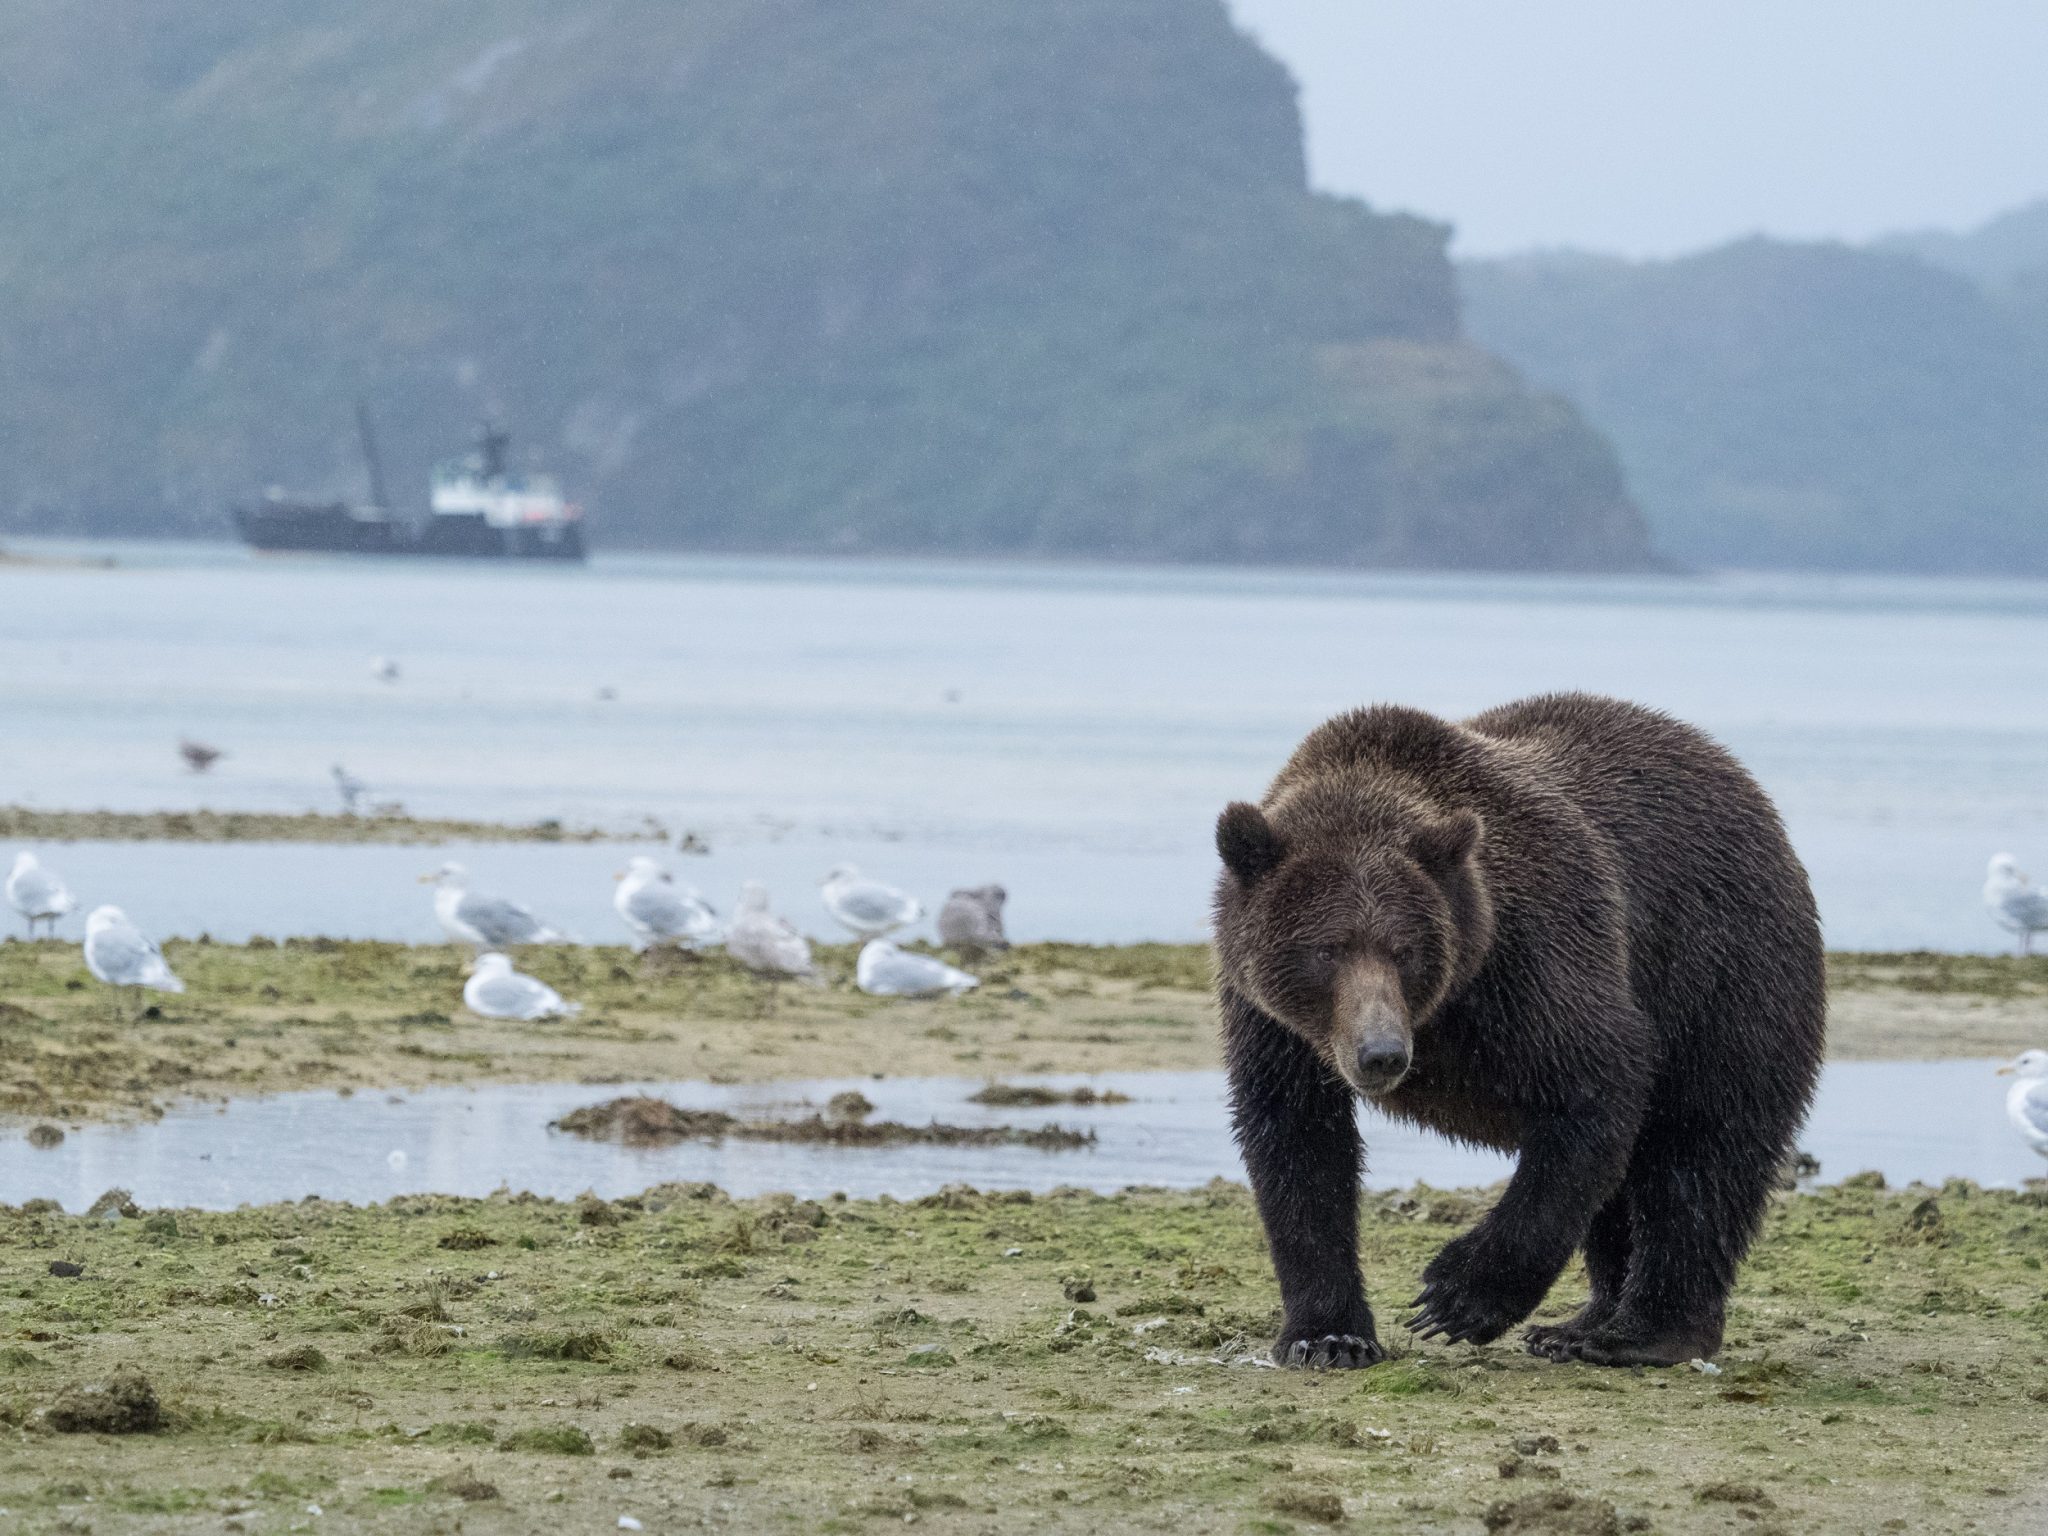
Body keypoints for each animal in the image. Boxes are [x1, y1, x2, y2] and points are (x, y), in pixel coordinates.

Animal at [1204, 696, 1818, 1368]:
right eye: (1325, 950)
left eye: (1404, 950)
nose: (1382, 1055)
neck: (1446, 1012)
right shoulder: (1272, 1022)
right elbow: (1298, 1144)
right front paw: (1329, 1336)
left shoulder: (1534, 956)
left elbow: (1594, 1091)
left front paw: (1453, 1298)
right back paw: (1580, 1322)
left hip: (1718, 978)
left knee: (1698, 1157)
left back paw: (1639, 1333)